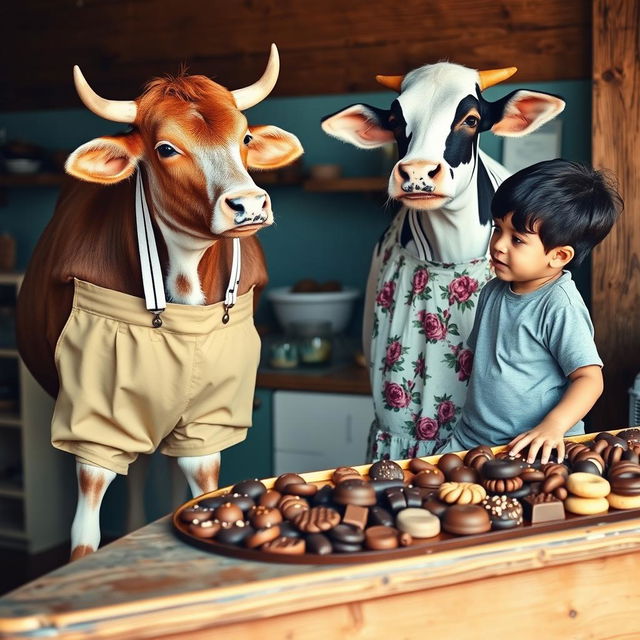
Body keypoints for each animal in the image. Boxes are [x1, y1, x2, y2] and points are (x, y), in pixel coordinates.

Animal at [16, 42, 304, 556]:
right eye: (166, 148)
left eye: (246, 137)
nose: (249, 205)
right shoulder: (93, 417)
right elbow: (85, 529)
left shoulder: (209, 420)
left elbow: (201, 480)